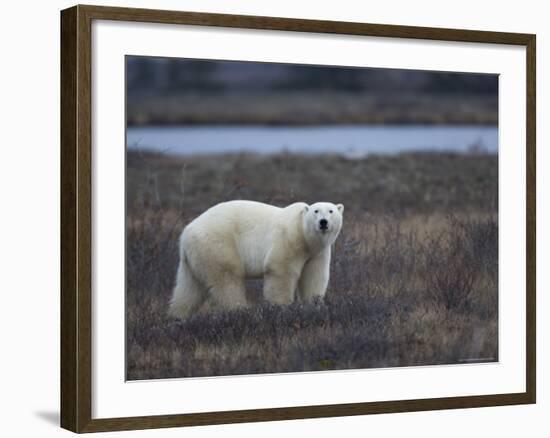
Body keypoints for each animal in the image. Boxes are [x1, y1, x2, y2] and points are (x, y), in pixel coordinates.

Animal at [168, 199, 342, 318]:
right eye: (316, 211)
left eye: (331, 211)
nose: (323, 222)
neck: (304, 236)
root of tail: (185, 233)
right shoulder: (288, 239)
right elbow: (280, 271)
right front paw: (281, 308)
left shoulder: (317, 253)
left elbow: (314, 277)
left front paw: (314, 306)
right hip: (217, 245)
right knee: (228, 280)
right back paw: (241, 311)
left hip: (194, 257)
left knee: (189, 289)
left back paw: (177, 316)